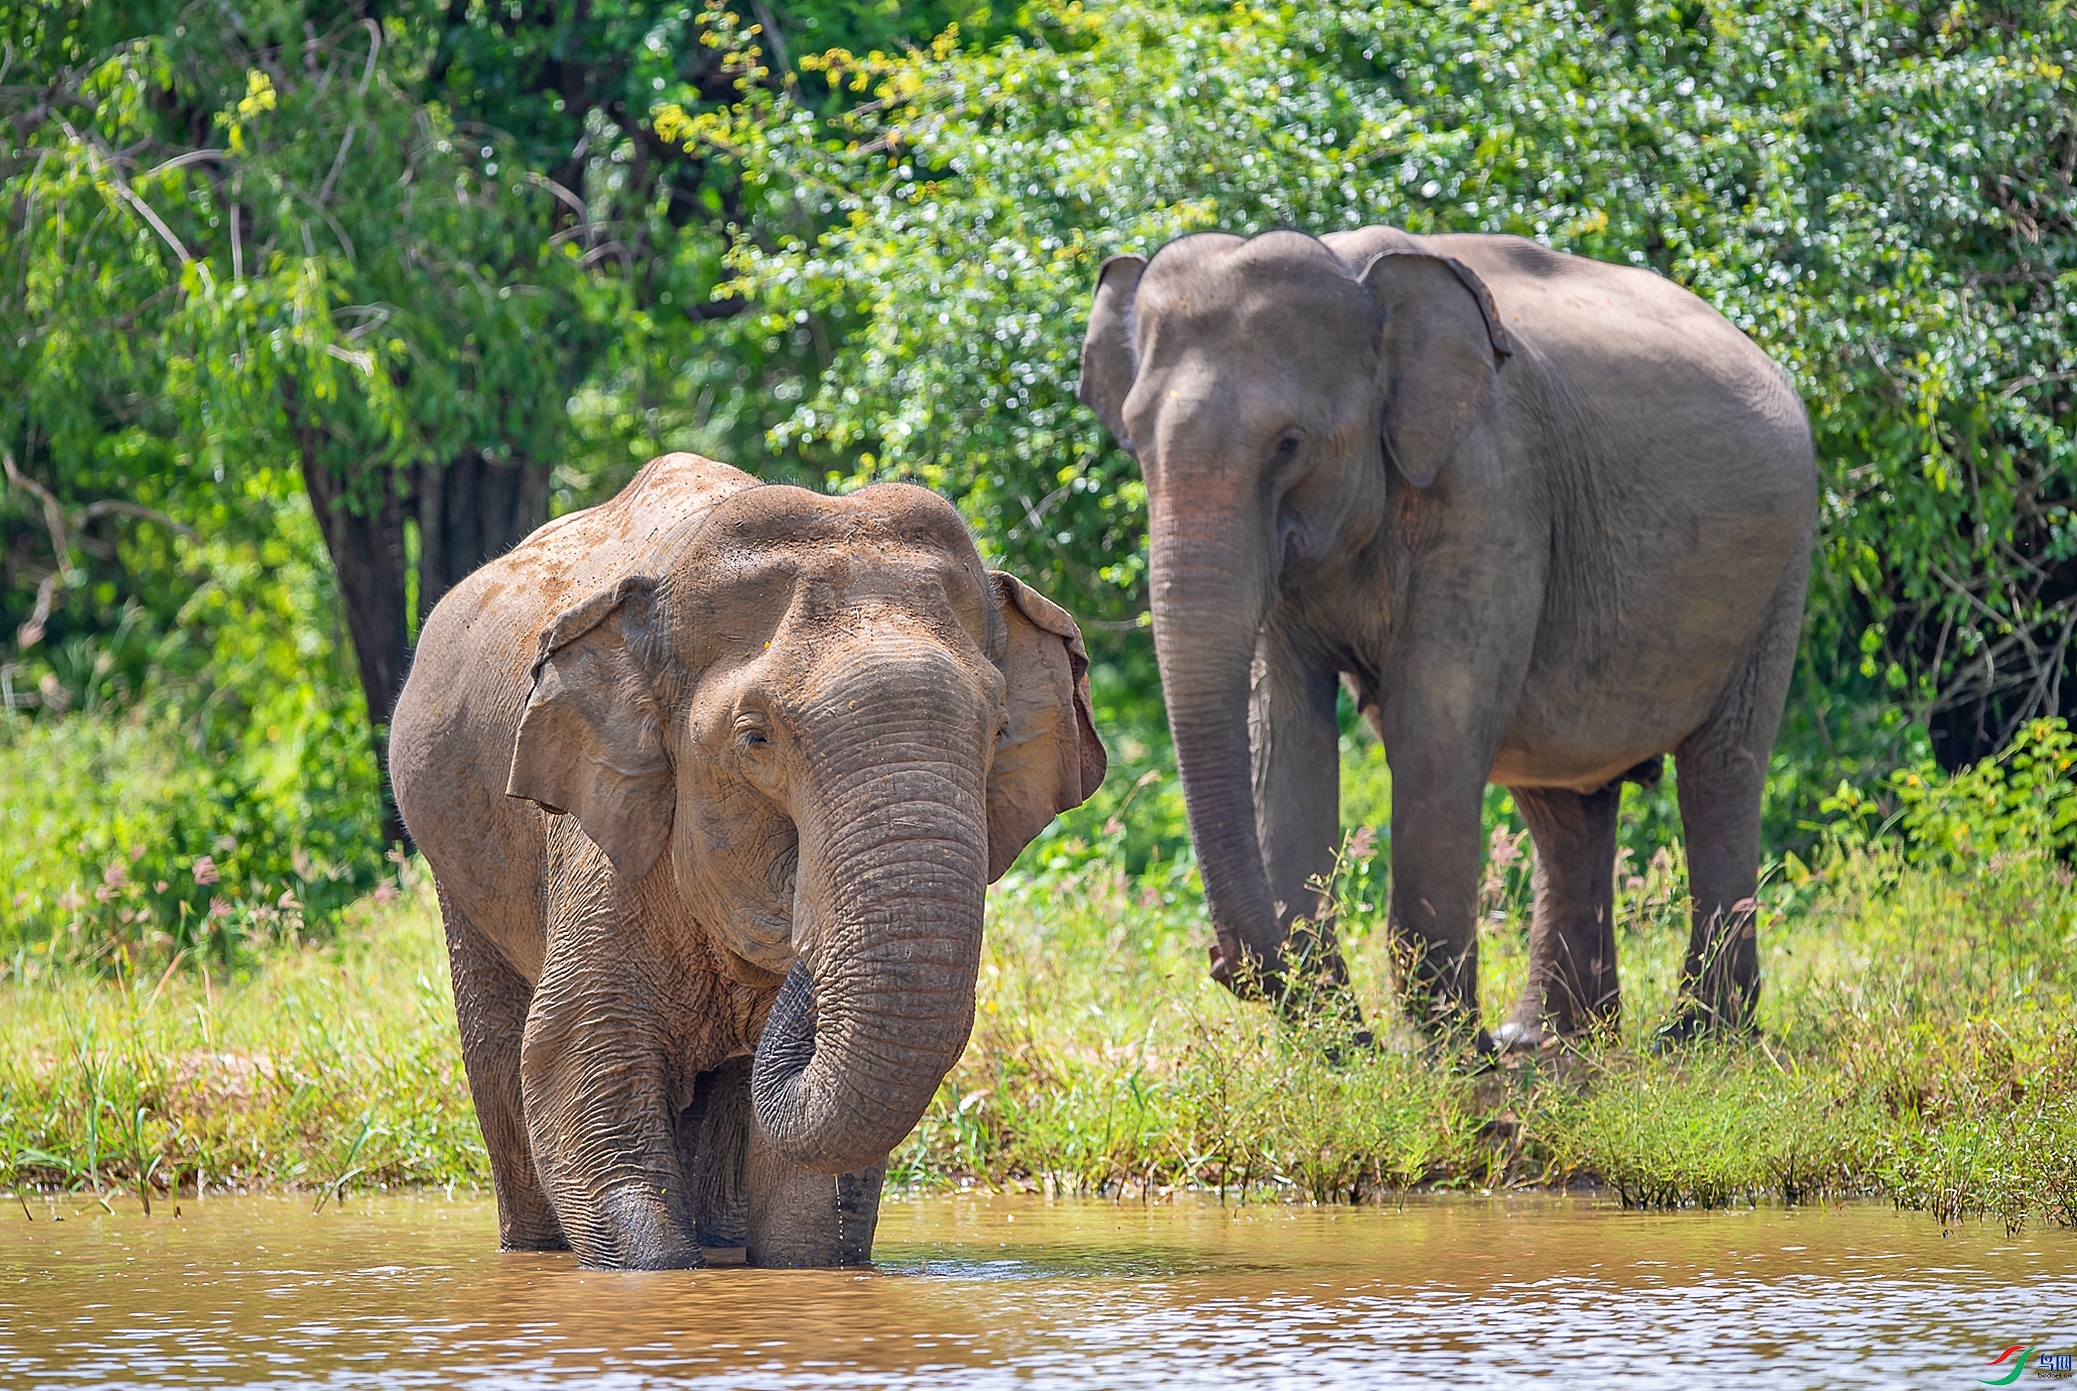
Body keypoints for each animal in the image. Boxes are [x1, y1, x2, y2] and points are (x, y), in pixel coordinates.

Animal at [388, 452, 1105, 1268]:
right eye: (754, 738)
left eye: (998, 730)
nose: (806, 918)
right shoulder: (603, 840)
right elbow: (575, 1072)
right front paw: (666, 1275)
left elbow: (805, 1184)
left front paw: (804, 1268)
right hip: (455, 853)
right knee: (499, 1045)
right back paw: (534, 1249)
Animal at [1077, 227, 1816, 1052]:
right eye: (1136, 443)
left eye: (1290, 444)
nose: (1221, 964)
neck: (1356, 274)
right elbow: (1286, 733)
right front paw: (1364, 1044)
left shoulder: (1490, 488)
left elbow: (1433, 723)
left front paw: (1438, 1056)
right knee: (1564, 803)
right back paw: (1550, 1040)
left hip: (1779, 569)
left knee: (1719, 773)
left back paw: (1696, 1039)